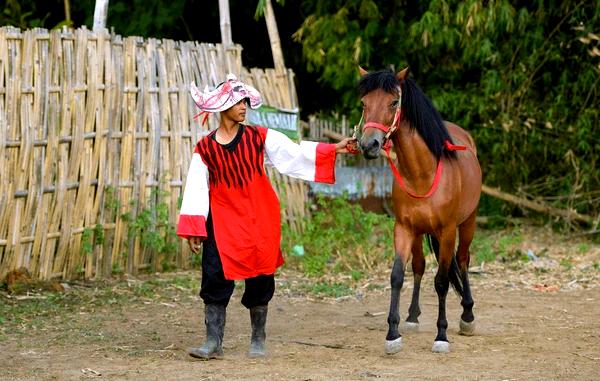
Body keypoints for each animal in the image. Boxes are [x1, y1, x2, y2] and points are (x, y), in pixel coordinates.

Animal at [356, 66, 482, 354]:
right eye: (364, 103)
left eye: (394, 102)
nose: (369, 144)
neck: (422, 174)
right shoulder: (404, 228)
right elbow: (397, 276)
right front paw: (393, 334)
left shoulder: (447, 231)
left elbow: (442, 281)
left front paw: (441, 335)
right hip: (420, 232)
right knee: (420, 266)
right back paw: (412, 316)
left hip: (468, 223)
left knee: (463, 260)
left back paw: (467, 316)